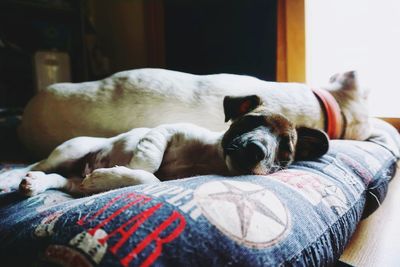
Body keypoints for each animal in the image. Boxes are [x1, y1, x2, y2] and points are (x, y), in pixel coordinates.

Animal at [1, 97, 330, 198]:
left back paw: (36, 184)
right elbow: (148, 165)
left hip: (70, 178)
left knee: (59, 179)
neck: (208, 158)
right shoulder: (164, 131)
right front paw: (128, 166)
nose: (256, 151)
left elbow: (152, 178)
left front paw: (107, 177)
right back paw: (13, 177)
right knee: (37, 164)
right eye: (251, 121)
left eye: (285, 148)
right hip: (69, 150)